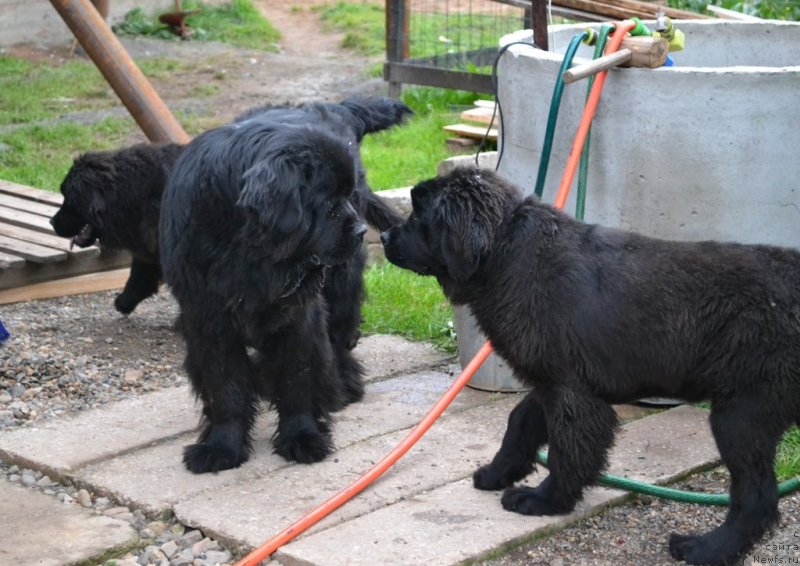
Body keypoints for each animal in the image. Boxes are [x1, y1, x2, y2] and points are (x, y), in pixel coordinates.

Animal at [161, 96, 412, 474]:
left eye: (347, 195)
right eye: (328, 204)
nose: (357, 231)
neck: (246, 250)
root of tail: (332, 105)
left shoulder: (299, 314)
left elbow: (298, 376)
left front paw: (302, 437)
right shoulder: (208, 319)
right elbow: (225, 386)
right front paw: (222, 446)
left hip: (342, 284)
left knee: (340, 336)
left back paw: (344, 386)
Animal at [380, 168, 800, 566]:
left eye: (419, 214)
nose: (383, 236)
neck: (505, 254)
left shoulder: (571, 391)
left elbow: (566, 452)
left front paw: (543, 501)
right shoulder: (551, 382)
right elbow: (520, 423)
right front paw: (500, 472)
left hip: (741, 414)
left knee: (756, 497)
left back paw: (707, 548)